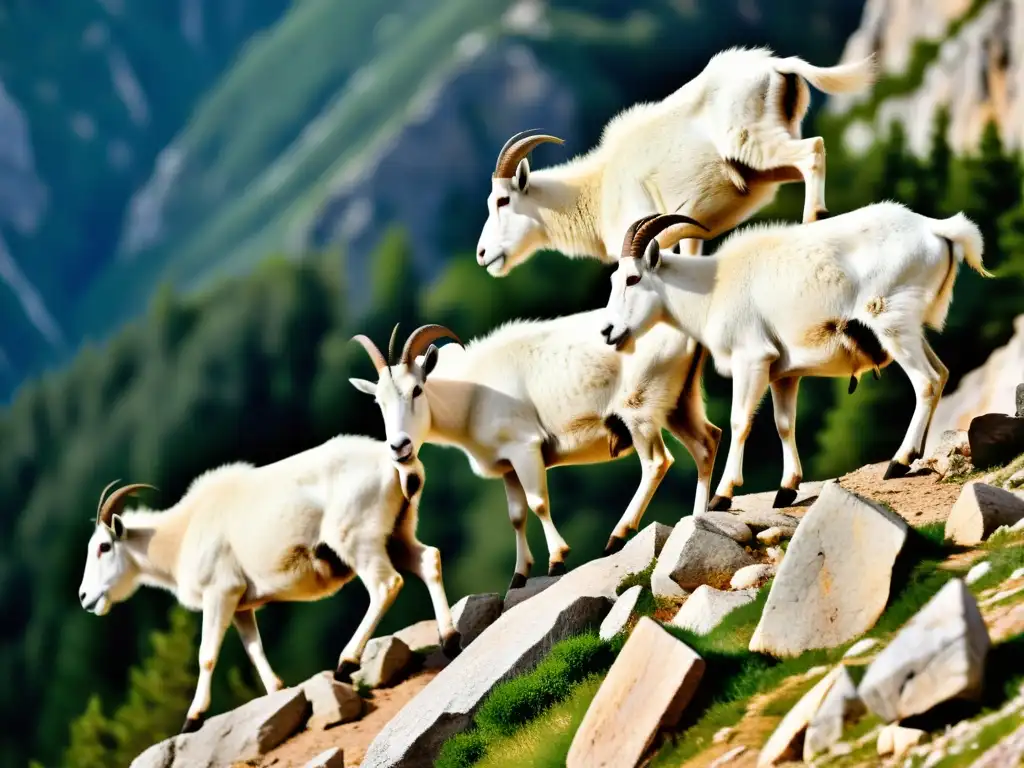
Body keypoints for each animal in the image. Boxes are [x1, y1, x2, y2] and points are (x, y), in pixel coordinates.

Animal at [77, 438, 462, 733]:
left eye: (104, 546)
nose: (85, 597)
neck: (183, 533)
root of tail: (395, 464)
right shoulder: (241, 605)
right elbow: (254, 649)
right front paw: (277, 690)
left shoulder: (220, 592)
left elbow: (206, 655)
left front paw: (192, 718)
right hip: (397, 534)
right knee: (428, 561)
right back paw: (449, 639)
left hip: (358, 542)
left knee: (386, 584)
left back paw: (346, 662)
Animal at [352, 315, 720, 593]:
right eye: (379, 401)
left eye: (417, 389)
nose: (399, 447)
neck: (472, 390)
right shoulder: (507, 465)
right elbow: (516, 515)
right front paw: (518, 575)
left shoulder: (525, 447)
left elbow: (538, 503)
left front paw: (557, 559)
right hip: (680, 402)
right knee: (707, 442)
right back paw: (698, 516)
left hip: (639, 410)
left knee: (657, 461)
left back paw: (617, 536)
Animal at [475, 44, 876, 274]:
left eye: (502, 200)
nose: (482, 255)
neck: (598, 187)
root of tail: (779, 66)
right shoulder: (687, 232)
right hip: (767, 164)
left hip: (753, 142)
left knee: (814, 149)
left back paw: (814, 218)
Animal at [598, 205, 991, 512]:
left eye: (633, 278)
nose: (607, 331)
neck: (712, 287)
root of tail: (936, 228)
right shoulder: (783, 374)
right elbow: (784, 424)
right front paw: (786, 490)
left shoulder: (752, 359)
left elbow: (740, 421)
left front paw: (723, 496)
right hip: (910, 330)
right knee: (941, 373)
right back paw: (916, 454)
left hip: (891, 324)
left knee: (926, 381)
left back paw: (899, 460)